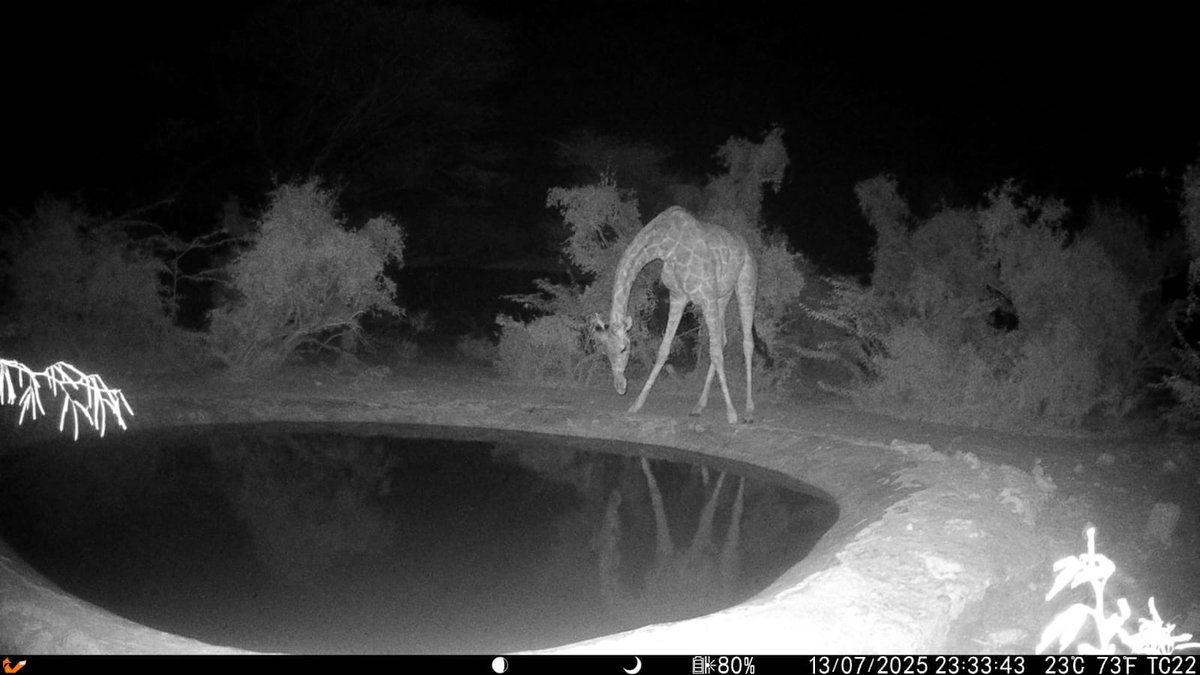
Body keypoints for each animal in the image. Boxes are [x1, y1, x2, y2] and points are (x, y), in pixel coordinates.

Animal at [591, 206, 757, 424]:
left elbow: (714, 352)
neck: (666, 246)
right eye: (605, 352)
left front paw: (731, 414)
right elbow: (664, 349)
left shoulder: (706, 296)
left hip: (745, 284)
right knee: (722, 339)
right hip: (723, 294)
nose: (620, 387)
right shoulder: (679, 296)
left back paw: (748, 410)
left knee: (746, 342)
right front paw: (636, 404)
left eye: (623, 348)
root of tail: (745, 245)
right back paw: (699, 406)